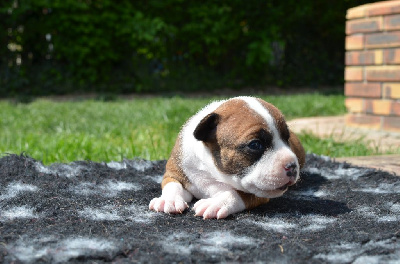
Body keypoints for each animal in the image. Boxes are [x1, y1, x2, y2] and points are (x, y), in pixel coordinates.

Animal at [148, 96, 304, 219]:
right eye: (255, 145)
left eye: (286, 139)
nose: (292, 166)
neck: (210, 171)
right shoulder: (174, 171)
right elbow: (172, 184)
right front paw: (169, 200)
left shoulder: (257, 193)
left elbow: (235, 194)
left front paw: (215, 203)